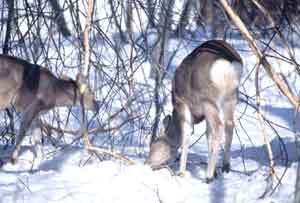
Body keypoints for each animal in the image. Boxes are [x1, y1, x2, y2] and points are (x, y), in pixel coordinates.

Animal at [146, 39, 244, 182]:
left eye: (153, 146)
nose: (146, 163)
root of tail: (228, 63)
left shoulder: (182, 104)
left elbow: (186, 136)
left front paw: (181, 172)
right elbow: (208, 134)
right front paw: (215, 172)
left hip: (208, 99)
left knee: (218, 127)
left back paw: (208, 176)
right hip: (231, 96)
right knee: (229, 124)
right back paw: (225, 167)